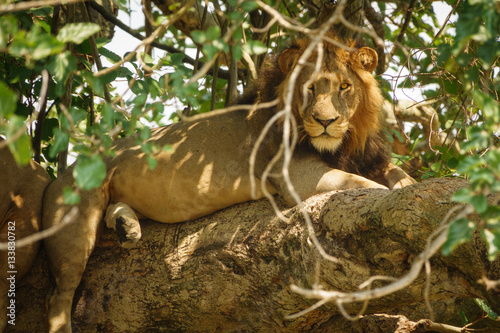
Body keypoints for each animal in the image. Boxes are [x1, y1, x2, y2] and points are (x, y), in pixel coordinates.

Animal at [42, 35, 414, 330]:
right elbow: (367, 187)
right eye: (309, 89)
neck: (346, 142)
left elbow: (401, 178)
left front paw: (409, 188)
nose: (325, 121)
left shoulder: (370, 159)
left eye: (344, 87)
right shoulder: (299, 175)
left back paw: (126, 227)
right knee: (58, 298)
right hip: (75, 220)